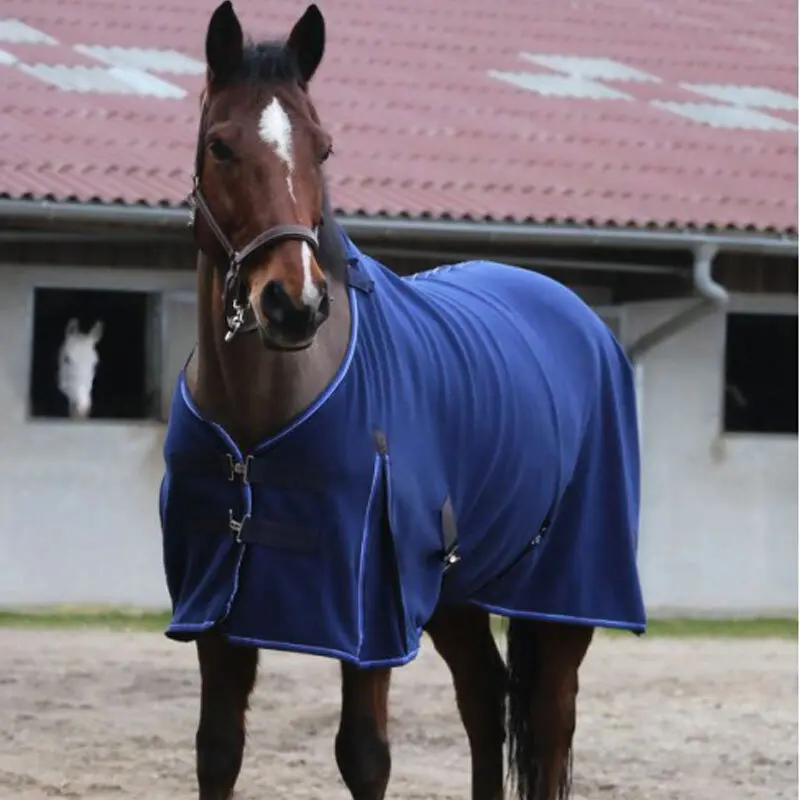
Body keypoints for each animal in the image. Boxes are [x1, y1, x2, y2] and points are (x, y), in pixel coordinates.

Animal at [158, 4, 647, 799]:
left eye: (322, 148)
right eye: (220, 146)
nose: (293, 305)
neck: (261, 419)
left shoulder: (369, 617)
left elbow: (363, 754)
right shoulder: (216, 611)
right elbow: (217, 751)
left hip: (566, 592)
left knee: (548, 723)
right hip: (456, 592)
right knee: (484, 698)